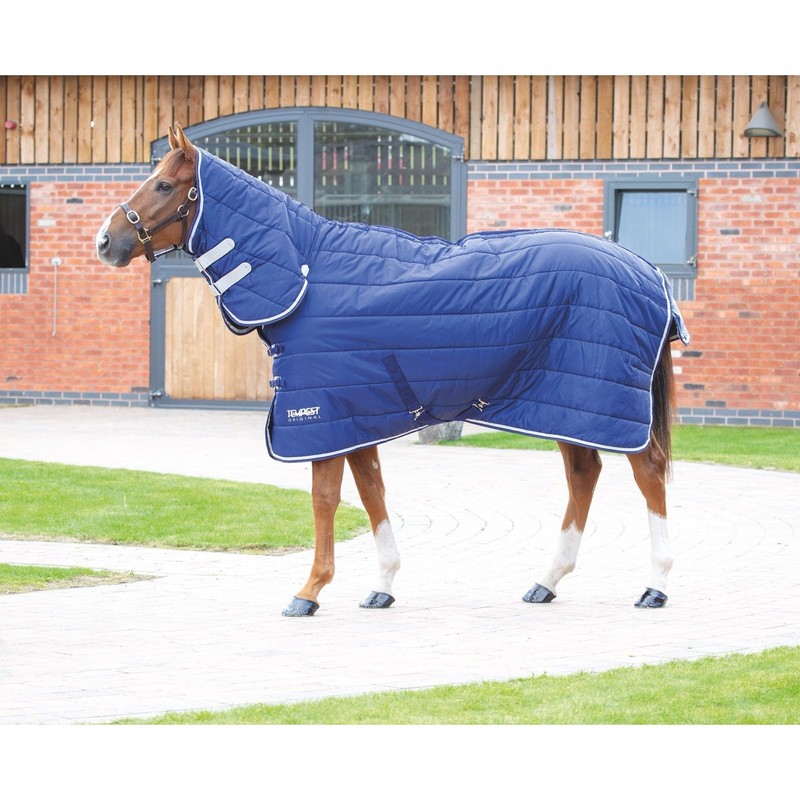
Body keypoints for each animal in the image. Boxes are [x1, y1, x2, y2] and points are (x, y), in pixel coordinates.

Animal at [97, 124, 689, 616]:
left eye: (164, 185)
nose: (106, 241)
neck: (309, 276)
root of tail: (648, 273)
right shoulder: (356, 415)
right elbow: (371, 493)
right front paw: (381, 585)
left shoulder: (321, 414)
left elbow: (326, 499)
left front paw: (309, 591)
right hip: (565, 402)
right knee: (584, 474)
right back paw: (548, 581)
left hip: (602, 403)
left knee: (649, 471)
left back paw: (656, 585)